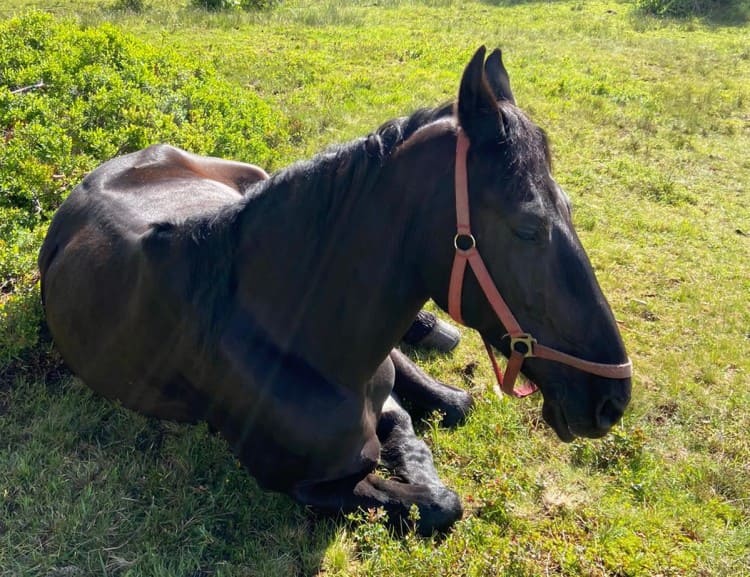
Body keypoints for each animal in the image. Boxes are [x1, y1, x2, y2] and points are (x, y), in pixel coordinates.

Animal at [38, 47, 632, 535]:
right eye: (529, 227)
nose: (611, 401)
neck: (290, 340)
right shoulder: (307, 487)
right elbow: (436, 503)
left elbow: (435, 420)